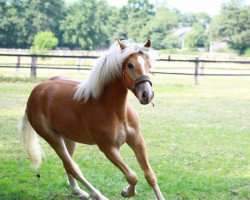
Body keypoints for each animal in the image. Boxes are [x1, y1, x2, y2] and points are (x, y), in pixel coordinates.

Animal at [18, 39, 165, 200]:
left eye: (148, 63)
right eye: (130, 65)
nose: (147, 95)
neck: (117, 112)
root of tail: (35, 93)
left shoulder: (137, 141)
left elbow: (150, 175)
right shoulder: (108, 148)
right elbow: (132, 176)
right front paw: (127, 192)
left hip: (69, 138)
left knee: (67, 165)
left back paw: (78, 192)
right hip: (53, 138)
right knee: (73, 167)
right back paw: (97, 195)